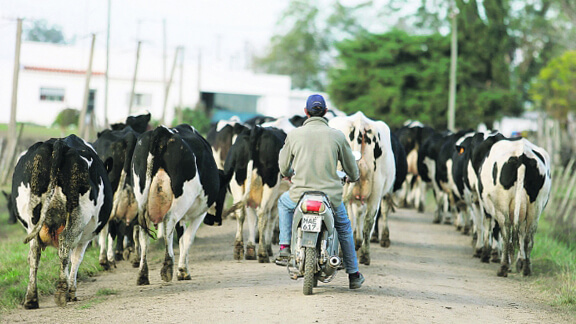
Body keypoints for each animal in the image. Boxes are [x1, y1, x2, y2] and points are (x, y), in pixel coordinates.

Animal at [9, 135, 112, 308]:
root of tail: (59, 143)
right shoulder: (85, 237)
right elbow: (76, 259)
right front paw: (72, 292)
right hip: (78, 216)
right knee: (64, 244)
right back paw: (61, 294)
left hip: (33, 217)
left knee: (34, 252)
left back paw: (31, 299)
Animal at [132, 125, 226, 284]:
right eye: (224, 191)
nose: (217, 221)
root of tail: (162, 130)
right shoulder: (199, 213)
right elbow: (187, 238)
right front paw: (183, 271)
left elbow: (181, 238)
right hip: (183, 198)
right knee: (169, 220)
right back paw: (167, 267)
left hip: (141, 196)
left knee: (143, 232)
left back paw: (142, 274)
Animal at [224, 125, 290, 262]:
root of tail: (256, 129)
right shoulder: (277, 198)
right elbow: (271, 219)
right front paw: (267, 247)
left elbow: (251, 218)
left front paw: (250, 248)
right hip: (270, 185)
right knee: (262, 214)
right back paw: (263, 253)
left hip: (237, 183)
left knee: (241, 213)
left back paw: (239, 249)